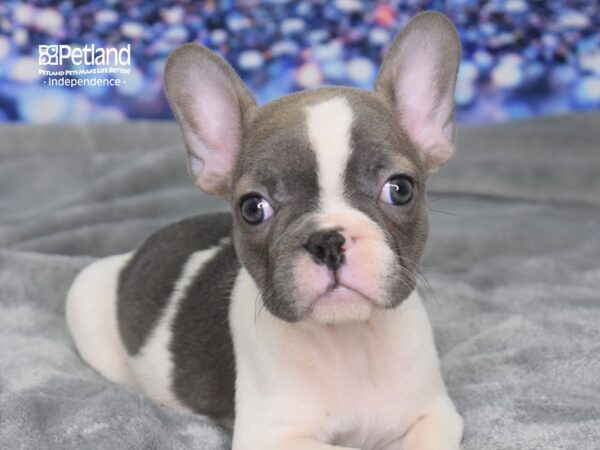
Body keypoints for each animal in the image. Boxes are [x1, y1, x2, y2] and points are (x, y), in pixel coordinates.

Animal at [68, 10, 466, 450]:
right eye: (253, 208)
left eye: (400, 189)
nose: (327, 241)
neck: (349, 339)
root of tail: (131, 257)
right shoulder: (269, 435)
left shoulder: (436, 415)